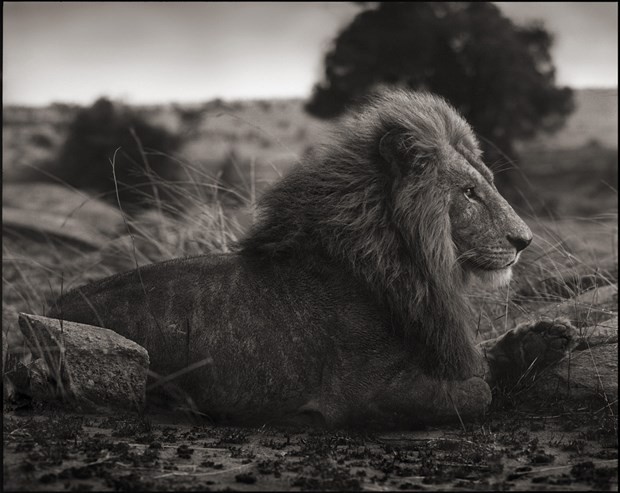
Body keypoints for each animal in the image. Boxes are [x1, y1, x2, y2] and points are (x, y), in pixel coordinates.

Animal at [47, 88, 576, 426]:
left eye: (487, 182)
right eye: (468, 192)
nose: (525, 240)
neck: (413, 263)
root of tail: (50, 308)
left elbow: (484, 358)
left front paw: (543, 339)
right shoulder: (361, 394)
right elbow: (477, 389)